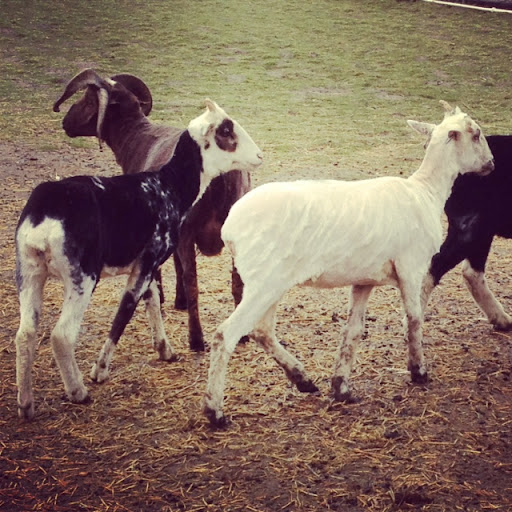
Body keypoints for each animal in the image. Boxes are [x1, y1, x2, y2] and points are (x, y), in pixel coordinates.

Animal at [14, 100, 262, 420]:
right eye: (226, 132)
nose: (259, 156)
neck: (169, 186)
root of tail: (44, 218)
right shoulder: (150, 257)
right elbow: (126, 308)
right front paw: (100, 371)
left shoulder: (148, 263)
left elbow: (151, 300)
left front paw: (164, 350)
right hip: (81, 276)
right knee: (61, 335)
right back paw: (78, 391)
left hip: (29, 270)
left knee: (25, 334)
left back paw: (26, 404)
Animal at [53, 68, 251, 351]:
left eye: (90, 100)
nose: (65, 122)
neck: (136, 139)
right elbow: (177, 265)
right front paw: (178, 300)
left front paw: (165, 299)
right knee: (237, 282)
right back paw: (242, 334)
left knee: (195, 283)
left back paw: (196, 339)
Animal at [203, 102, 494, 427]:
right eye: (477, 134)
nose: (492, 164)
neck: (425, 192)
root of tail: (230, 227)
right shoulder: (411, 267)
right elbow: (414, 319)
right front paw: (418, 371)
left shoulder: (364, 278)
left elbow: (353, 330)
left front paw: (341, 387)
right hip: (264, 282)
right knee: (225, 335)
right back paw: (215, 411)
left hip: (269, 284)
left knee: (261, 331)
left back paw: (303, 379)